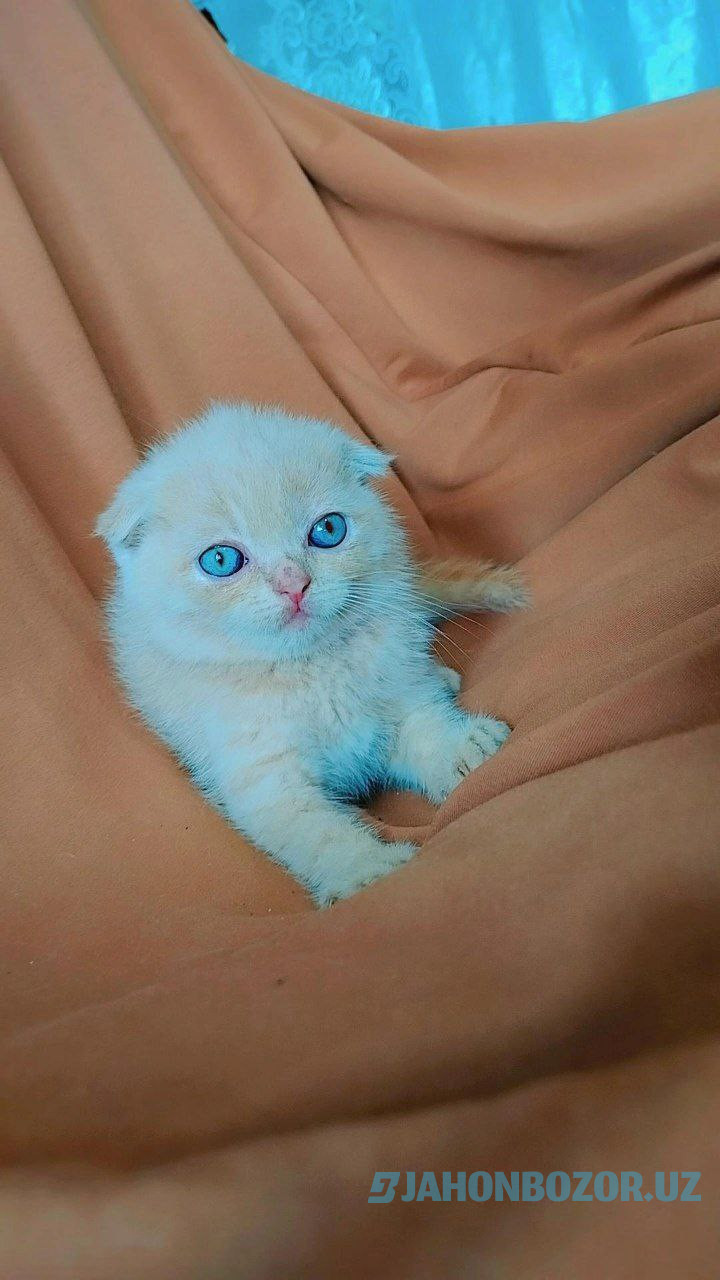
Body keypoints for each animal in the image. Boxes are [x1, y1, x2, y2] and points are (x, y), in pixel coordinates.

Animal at [98, 404, 525, 906]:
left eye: (328, 530)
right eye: (221, 560)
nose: (294, 584)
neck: (312, 669)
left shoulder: (393, 697)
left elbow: (421, 724)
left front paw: (461, 748)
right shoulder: (263, 779)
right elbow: (315, 833)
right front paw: (368, 868)